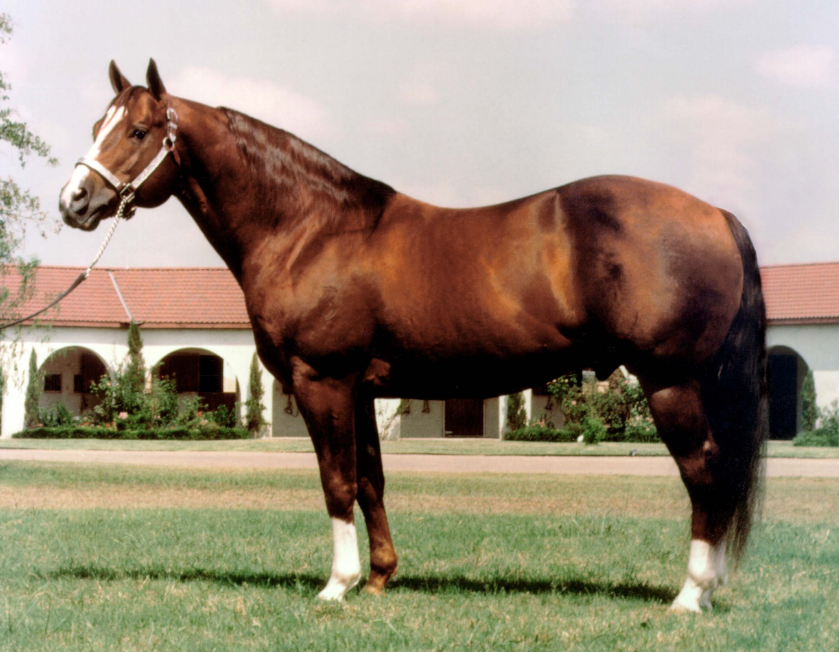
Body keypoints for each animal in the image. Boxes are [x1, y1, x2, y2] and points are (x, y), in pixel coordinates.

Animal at [59, 59, 767, 613]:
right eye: (97, 126)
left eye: (139, 130)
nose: (74, 200)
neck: (311, 229)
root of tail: (715, 214)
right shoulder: (363, 390)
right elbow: (370, 480)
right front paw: (378, 578)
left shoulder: (323, 381)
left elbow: (336, 480)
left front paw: (336, 585)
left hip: (670, 381)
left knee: (704, 470)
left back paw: (689, 595)